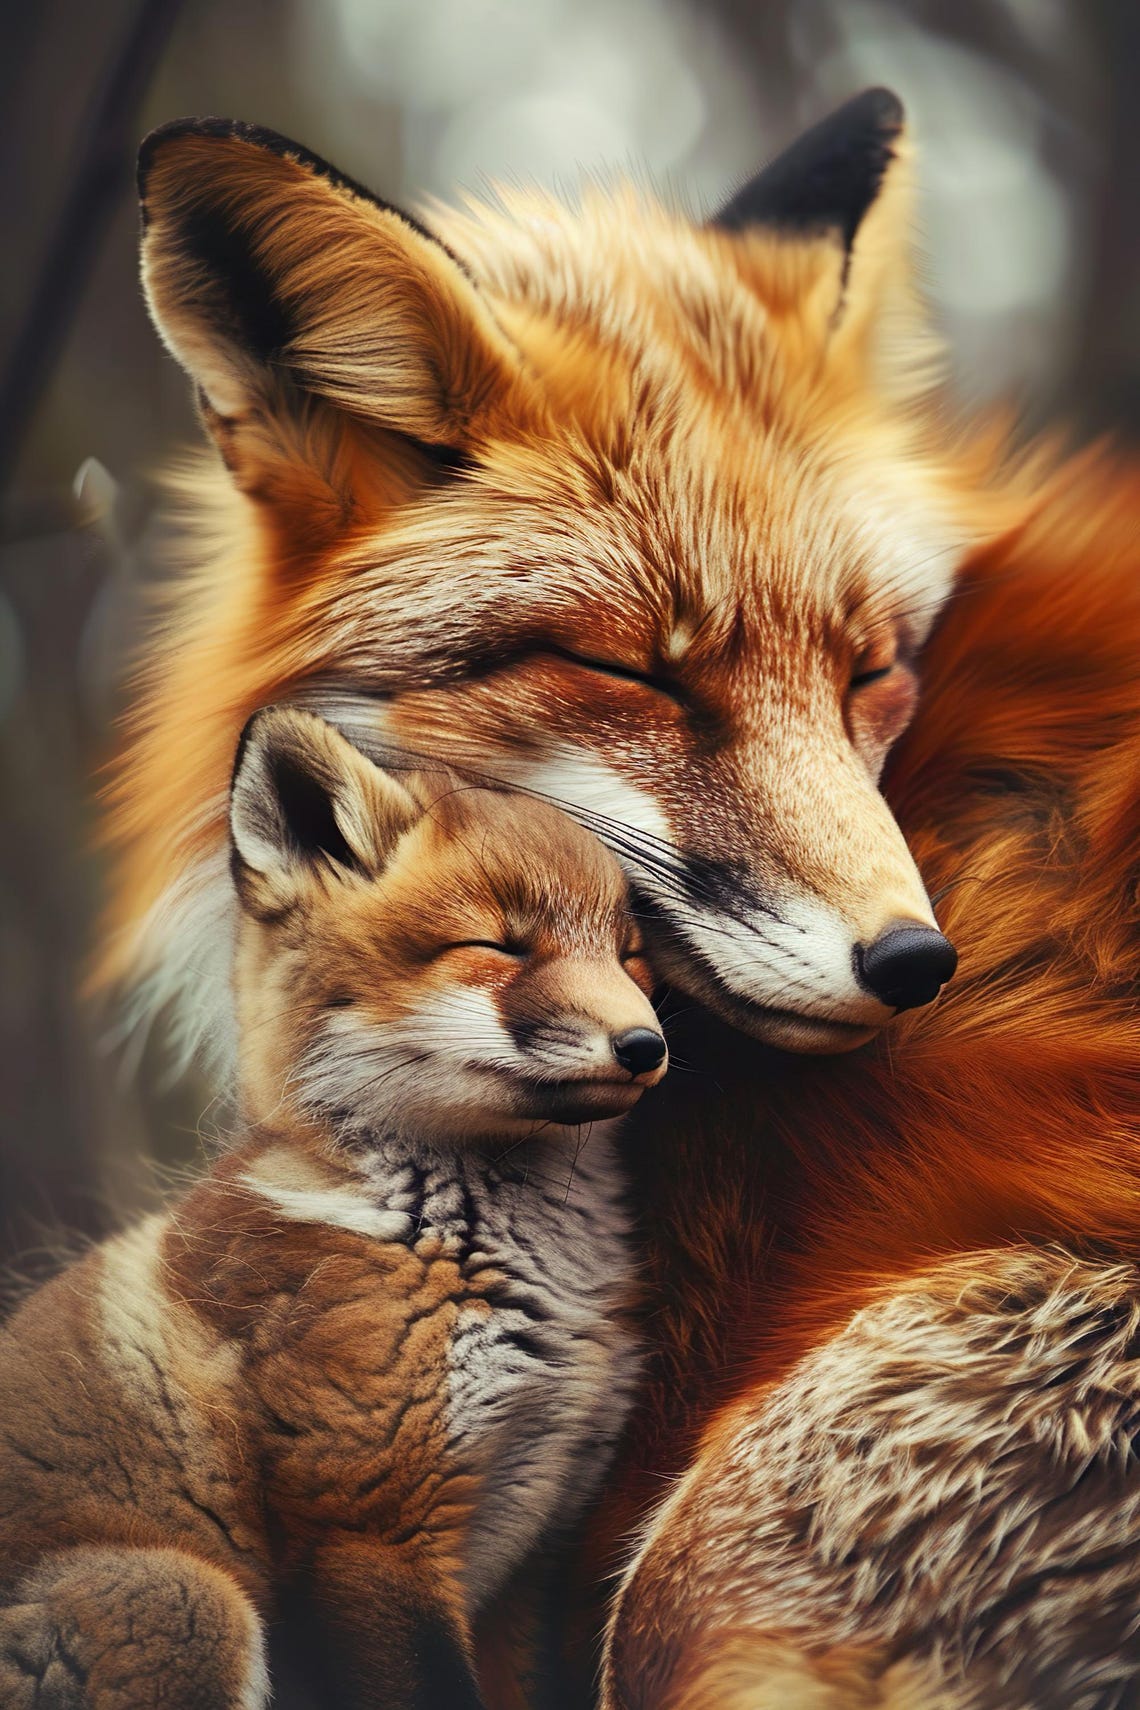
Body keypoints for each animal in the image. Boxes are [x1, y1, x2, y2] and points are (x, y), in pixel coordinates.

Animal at [0, 705, 666, 1709]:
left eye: (629, 957)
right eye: (499, 946)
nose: (645, 1046)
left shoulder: (528, 1548)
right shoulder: (368, 1532)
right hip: (188, 1602)